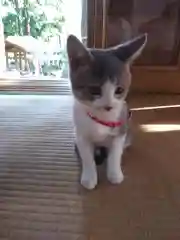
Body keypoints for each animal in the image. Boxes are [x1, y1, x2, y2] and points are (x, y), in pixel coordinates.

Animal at [67, 33, 147, 189]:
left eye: (119, 90)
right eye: (94, 90)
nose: (108, 105)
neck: (101, 117)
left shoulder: (121, 128)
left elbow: (115, 153)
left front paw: (115, 174)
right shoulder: (81, 134)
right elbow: (87, 156)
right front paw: (89, 177)